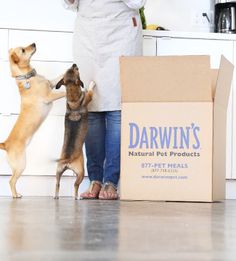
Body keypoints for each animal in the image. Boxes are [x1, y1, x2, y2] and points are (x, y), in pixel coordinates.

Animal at [0, 42, 65, 197]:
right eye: (23, 50)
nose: (34, 43)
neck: (27, 77)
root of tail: (5, 144)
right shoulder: (49, 96)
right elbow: (63, 92)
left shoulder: (51, 83)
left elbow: (59, 76)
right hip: (21, 165)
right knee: (11, 181)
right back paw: (16, 195)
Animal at [54, 63, 94, 199]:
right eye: (76, 70)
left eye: (69, 69)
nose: (74, 64)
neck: (72, 100)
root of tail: (67, 161)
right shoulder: (88, 97)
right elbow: (90, 92)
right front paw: (91, 84)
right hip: (80, 173)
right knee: (75, 185)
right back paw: (77, 197)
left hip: (58, 171)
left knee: (57, 184)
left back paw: (56, 196)